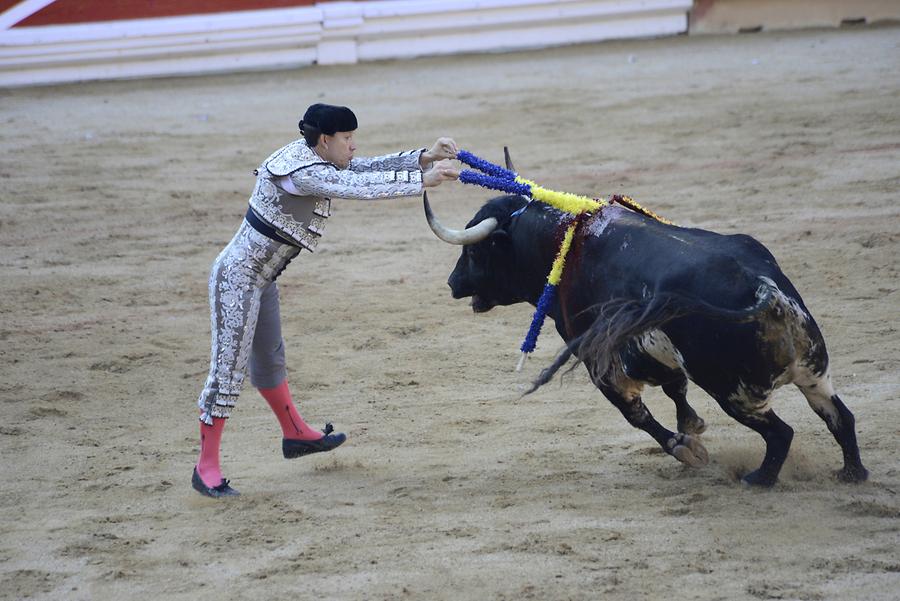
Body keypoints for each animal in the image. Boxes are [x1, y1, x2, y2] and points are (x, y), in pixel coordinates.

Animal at [426, 150, 868, 488]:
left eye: (474, 252)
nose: (451, 282)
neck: (564, 242)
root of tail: (765, 289)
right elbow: (675, 389)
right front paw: (692, 426)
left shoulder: (598, 361)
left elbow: (637, 414)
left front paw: (686, 447)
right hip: (814, 370)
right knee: (839, 416)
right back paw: (852, 474)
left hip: (734, 391)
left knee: (781, 433)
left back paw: (758, 479)